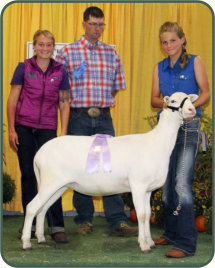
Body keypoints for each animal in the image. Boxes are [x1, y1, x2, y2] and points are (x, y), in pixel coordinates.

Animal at [21, 91, 197, 251]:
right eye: (173, 100)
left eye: (189, 98)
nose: (192, 109)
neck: (158, 142)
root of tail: (39, 153)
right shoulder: (138, 185)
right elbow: (141, 215)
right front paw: (144, 245)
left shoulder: (148, 189)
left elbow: (147, 215)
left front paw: (150, 242)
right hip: (50, 182)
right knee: (31, 207)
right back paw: (26, 243)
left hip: (59, 185)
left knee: (42, 209)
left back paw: (41, 238)